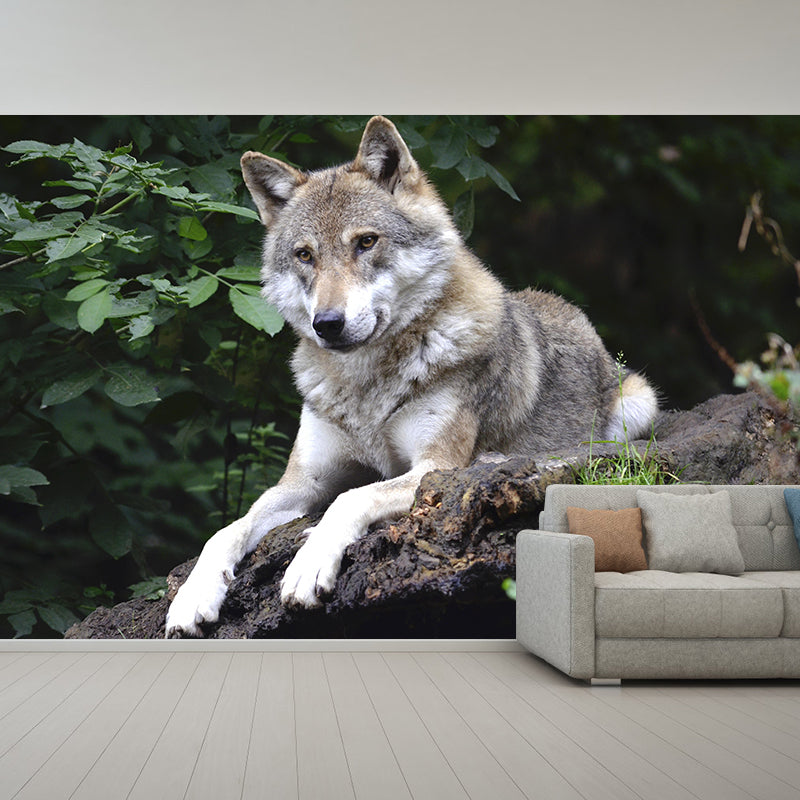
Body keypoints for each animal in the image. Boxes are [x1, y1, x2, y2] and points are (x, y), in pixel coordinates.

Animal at [164, 116, 658, 637]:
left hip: (638, 405)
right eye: (304, 255)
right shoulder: (302, 482)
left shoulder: (432, 467)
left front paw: (308, 565)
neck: (365, 387)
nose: (327, 323)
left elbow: (350, 498)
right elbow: (227, 530)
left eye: (366, 241)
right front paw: (192, 596)